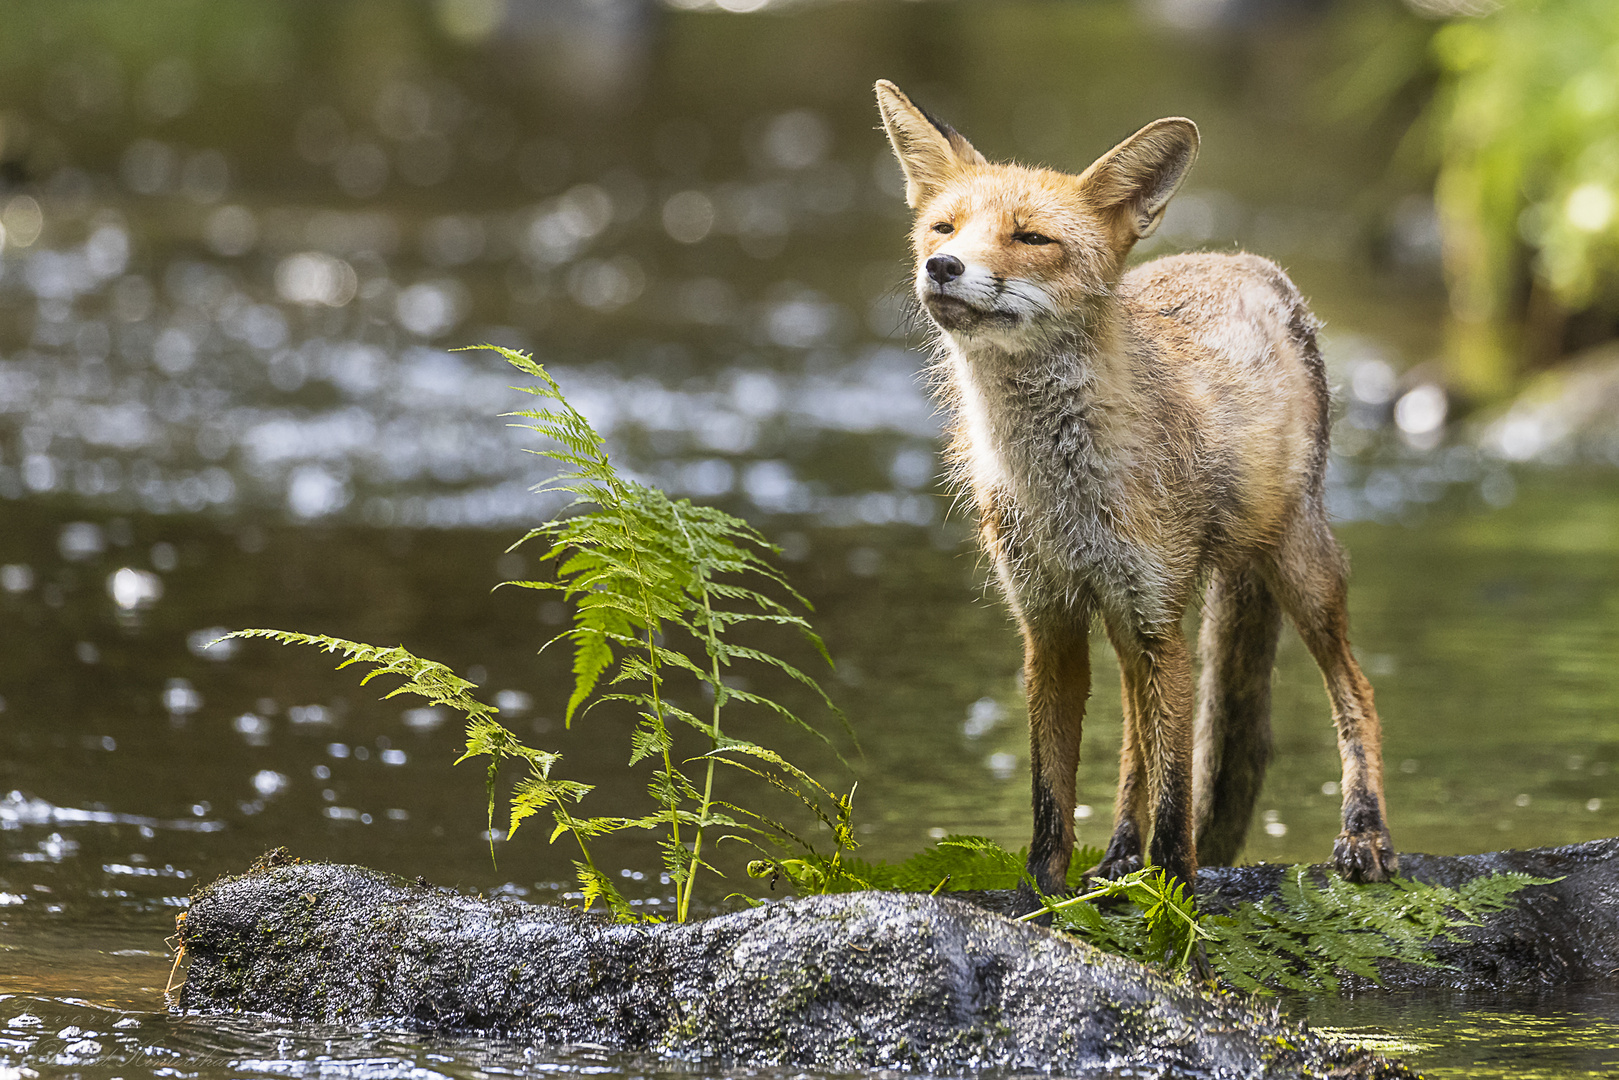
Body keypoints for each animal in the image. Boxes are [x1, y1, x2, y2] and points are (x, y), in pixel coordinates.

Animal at [880, 78, 1398, 906]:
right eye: (944, 226)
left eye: (1030, 238)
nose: (942, 266)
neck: (1061, 491)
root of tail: (1244, 261)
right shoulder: (1048, 623)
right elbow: (1052, 798)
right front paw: (1045, 901)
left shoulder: (1157, 618)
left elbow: (1178, 801)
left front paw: (1175, 909)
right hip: (1132, 622)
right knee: (1132, 739)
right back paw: (1120, 854)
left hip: (1294, 568)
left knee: (1355, 688)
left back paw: (1364, 832)